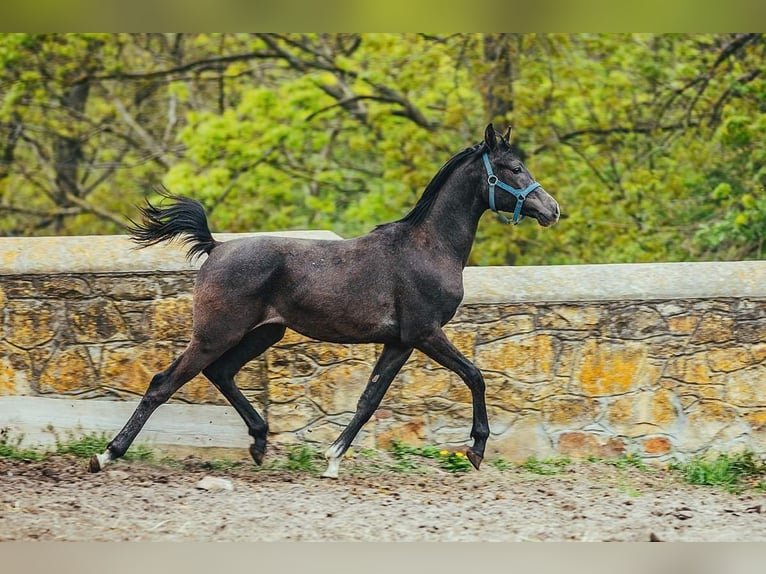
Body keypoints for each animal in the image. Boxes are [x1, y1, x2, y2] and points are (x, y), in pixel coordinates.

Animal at [90, 125, 560, 482]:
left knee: (220, 373)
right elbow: (475, 376)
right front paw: (476, 449)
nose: (553, 209)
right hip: (215, 334)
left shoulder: (400, 342)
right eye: (514, 168)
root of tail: (216, 248)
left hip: (263, 333)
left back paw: (259, 442)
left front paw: (332, 459)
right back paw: (107, 454)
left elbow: (369, 400)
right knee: (163, 383)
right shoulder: (426, 332)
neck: (428, 247)